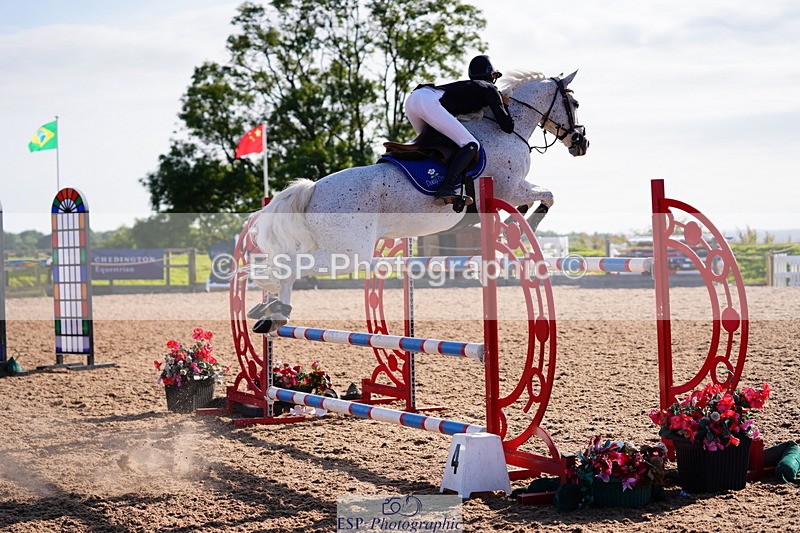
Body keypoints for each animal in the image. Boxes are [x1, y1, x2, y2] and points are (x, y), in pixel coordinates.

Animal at [247, 69, 588, 332]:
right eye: (574, 102)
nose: (581, 143)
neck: (505, 129)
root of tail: (314, 188)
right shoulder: (510, 187)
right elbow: (547, 197)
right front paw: (526, 227)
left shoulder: (512, 190)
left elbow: (536, 199)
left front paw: (515, 226)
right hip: (347, 252)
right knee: (291, 266)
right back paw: (274, 310)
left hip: (331, 245)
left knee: (285, 264)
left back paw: (270, 313)